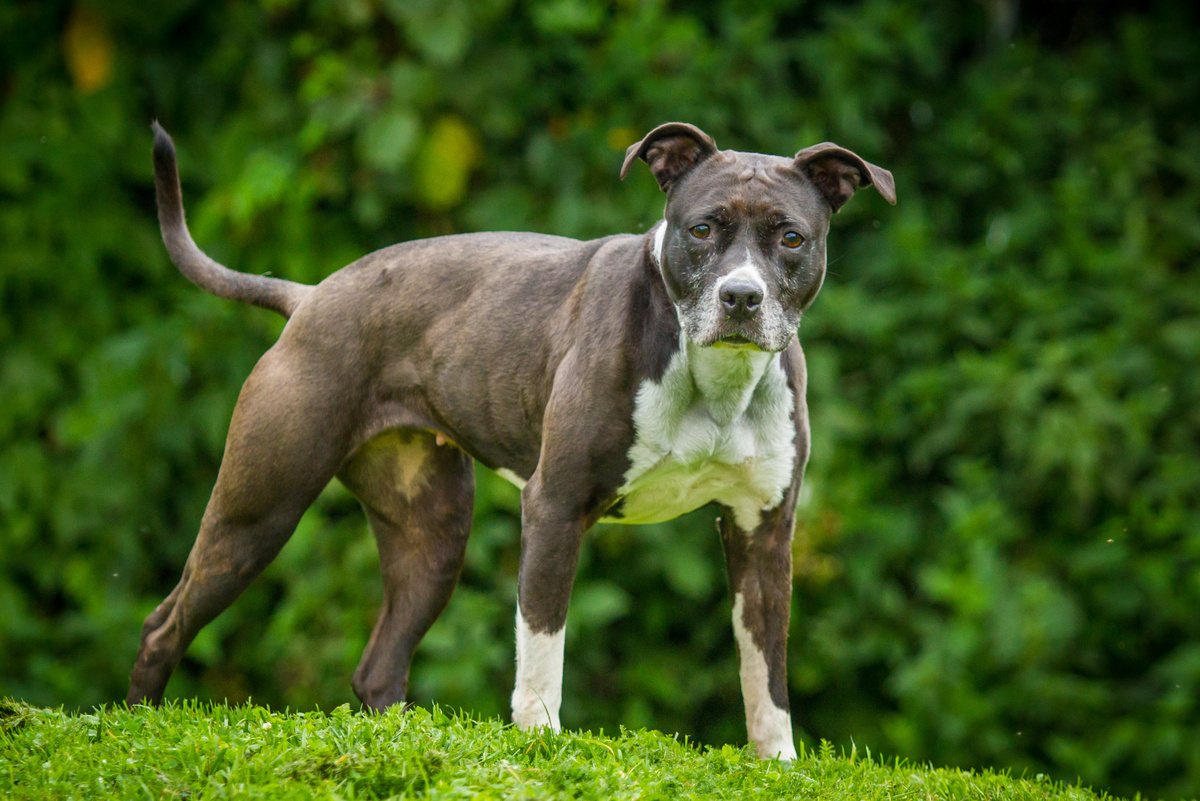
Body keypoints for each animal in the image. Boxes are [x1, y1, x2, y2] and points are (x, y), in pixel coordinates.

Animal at [133, 122, 892, 762]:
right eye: (702, 228)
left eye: (791, 238)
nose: (741, 297)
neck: (714, 377)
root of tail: (312, 295)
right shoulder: (554, 507)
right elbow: (543, 642)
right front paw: (540, 742)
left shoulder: (763, 531)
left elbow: (766, 667)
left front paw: (777, 763)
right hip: (257, 513)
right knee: (164, 624)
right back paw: (135, 727)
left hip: (432, 540)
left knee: (379, 665)